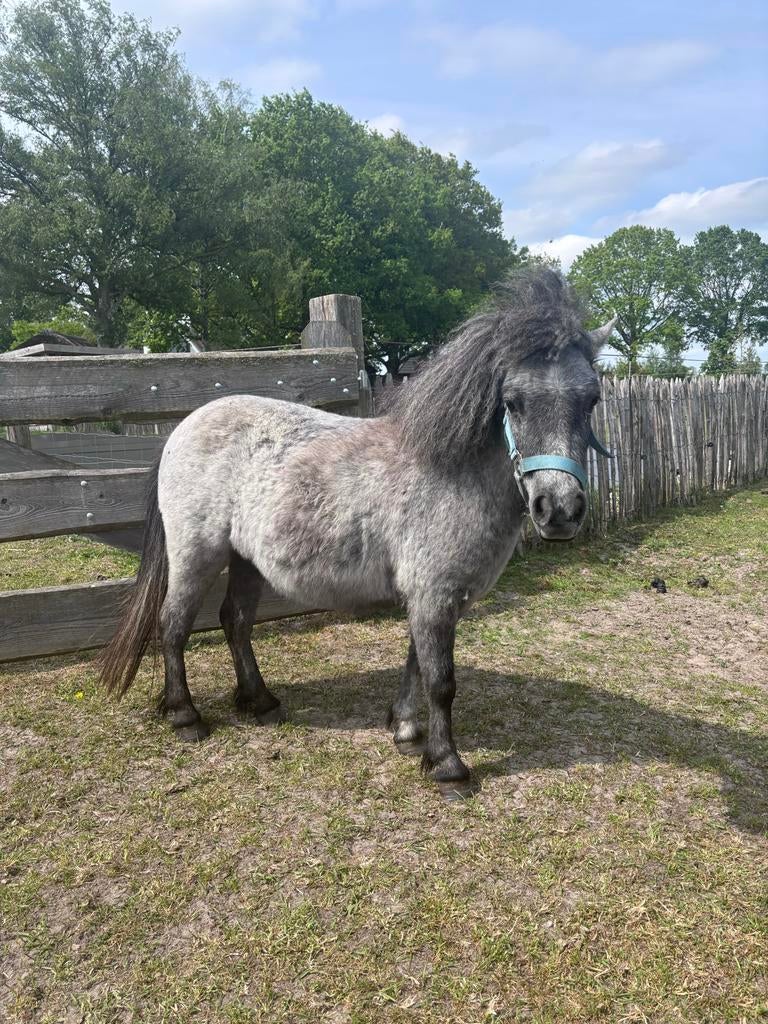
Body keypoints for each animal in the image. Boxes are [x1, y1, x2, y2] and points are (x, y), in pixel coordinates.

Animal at [100, 268, 615, 799]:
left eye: (591, 399)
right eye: (512, 402)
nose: (560, 509)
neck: (449, 472)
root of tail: (181, 430)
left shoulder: (432, 598)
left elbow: (416, 663)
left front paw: (406, 730)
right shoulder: (434, 595)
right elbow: (442, 681)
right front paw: (447, 764)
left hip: (245, 560)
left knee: (235, 620)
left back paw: (260, 702)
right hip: (195, 555)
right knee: (173, 624)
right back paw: (185, 716)